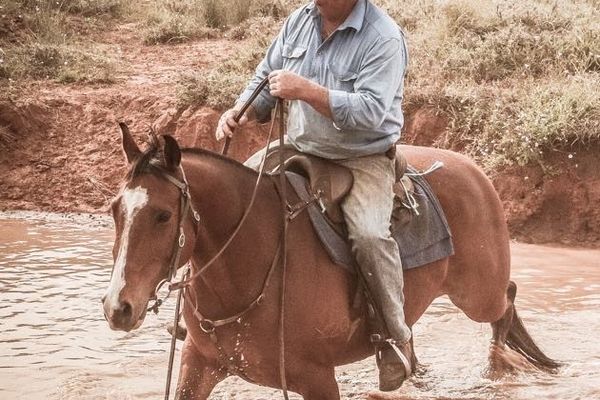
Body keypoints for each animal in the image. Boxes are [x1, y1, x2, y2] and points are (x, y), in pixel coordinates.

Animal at [102, 123, 556, 398]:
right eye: (114, 209)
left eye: (163, 215)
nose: (117, 308)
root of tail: (473, 169)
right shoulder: (198, 365)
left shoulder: (317, 379)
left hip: (478, 294)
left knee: (507, 300)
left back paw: (498, 368)